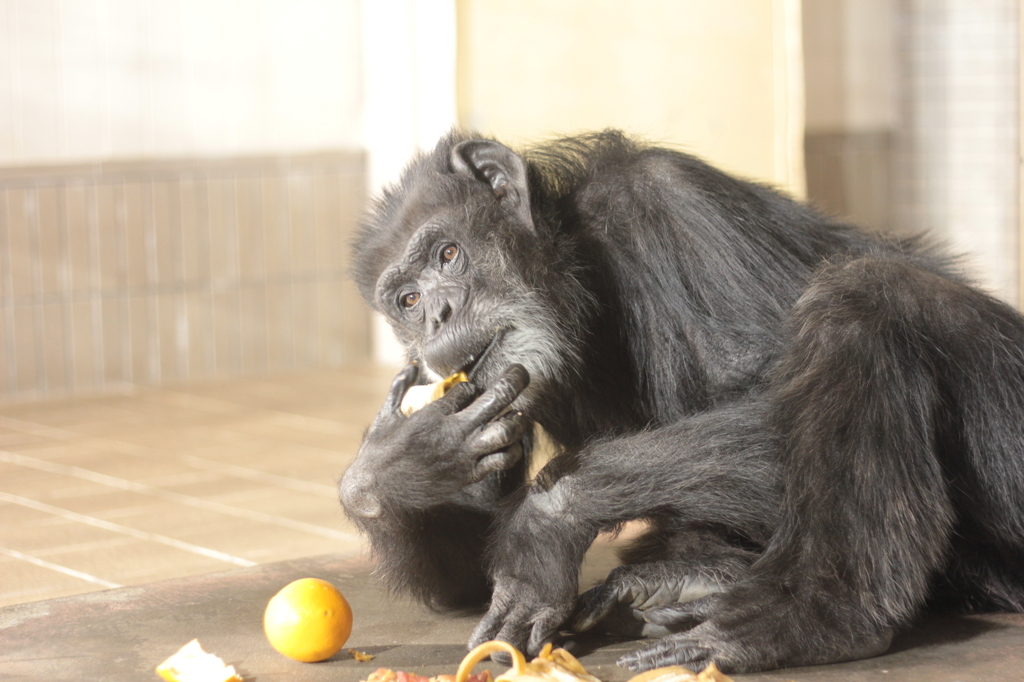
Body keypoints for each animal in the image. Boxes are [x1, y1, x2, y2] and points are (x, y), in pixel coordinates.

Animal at [339, 130, 1024, 671]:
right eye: (406, 301)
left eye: (448, 253)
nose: (438, 315)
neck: (583, 271)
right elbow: (464, 570)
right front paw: (398, 463)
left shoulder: (671, 206)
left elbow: (767, 400)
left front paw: (545, 522)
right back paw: (688, 582)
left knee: (860, 299)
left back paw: (811, 619)